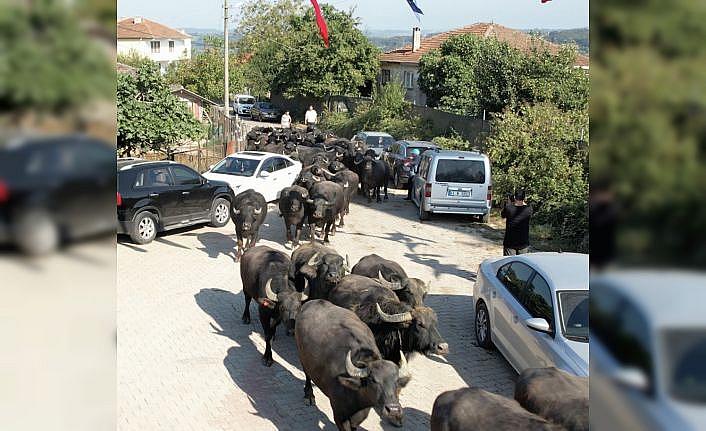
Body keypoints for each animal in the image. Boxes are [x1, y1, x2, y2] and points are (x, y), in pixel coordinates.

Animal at [292, 300, 410, 431]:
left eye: (397, 381)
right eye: (373, 380)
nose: (393, 410)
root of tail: (310, 302)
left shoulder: (360, 416)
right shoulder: (339, 415)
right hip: (302, 355)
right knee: (307, 374)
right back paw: (309, 396)